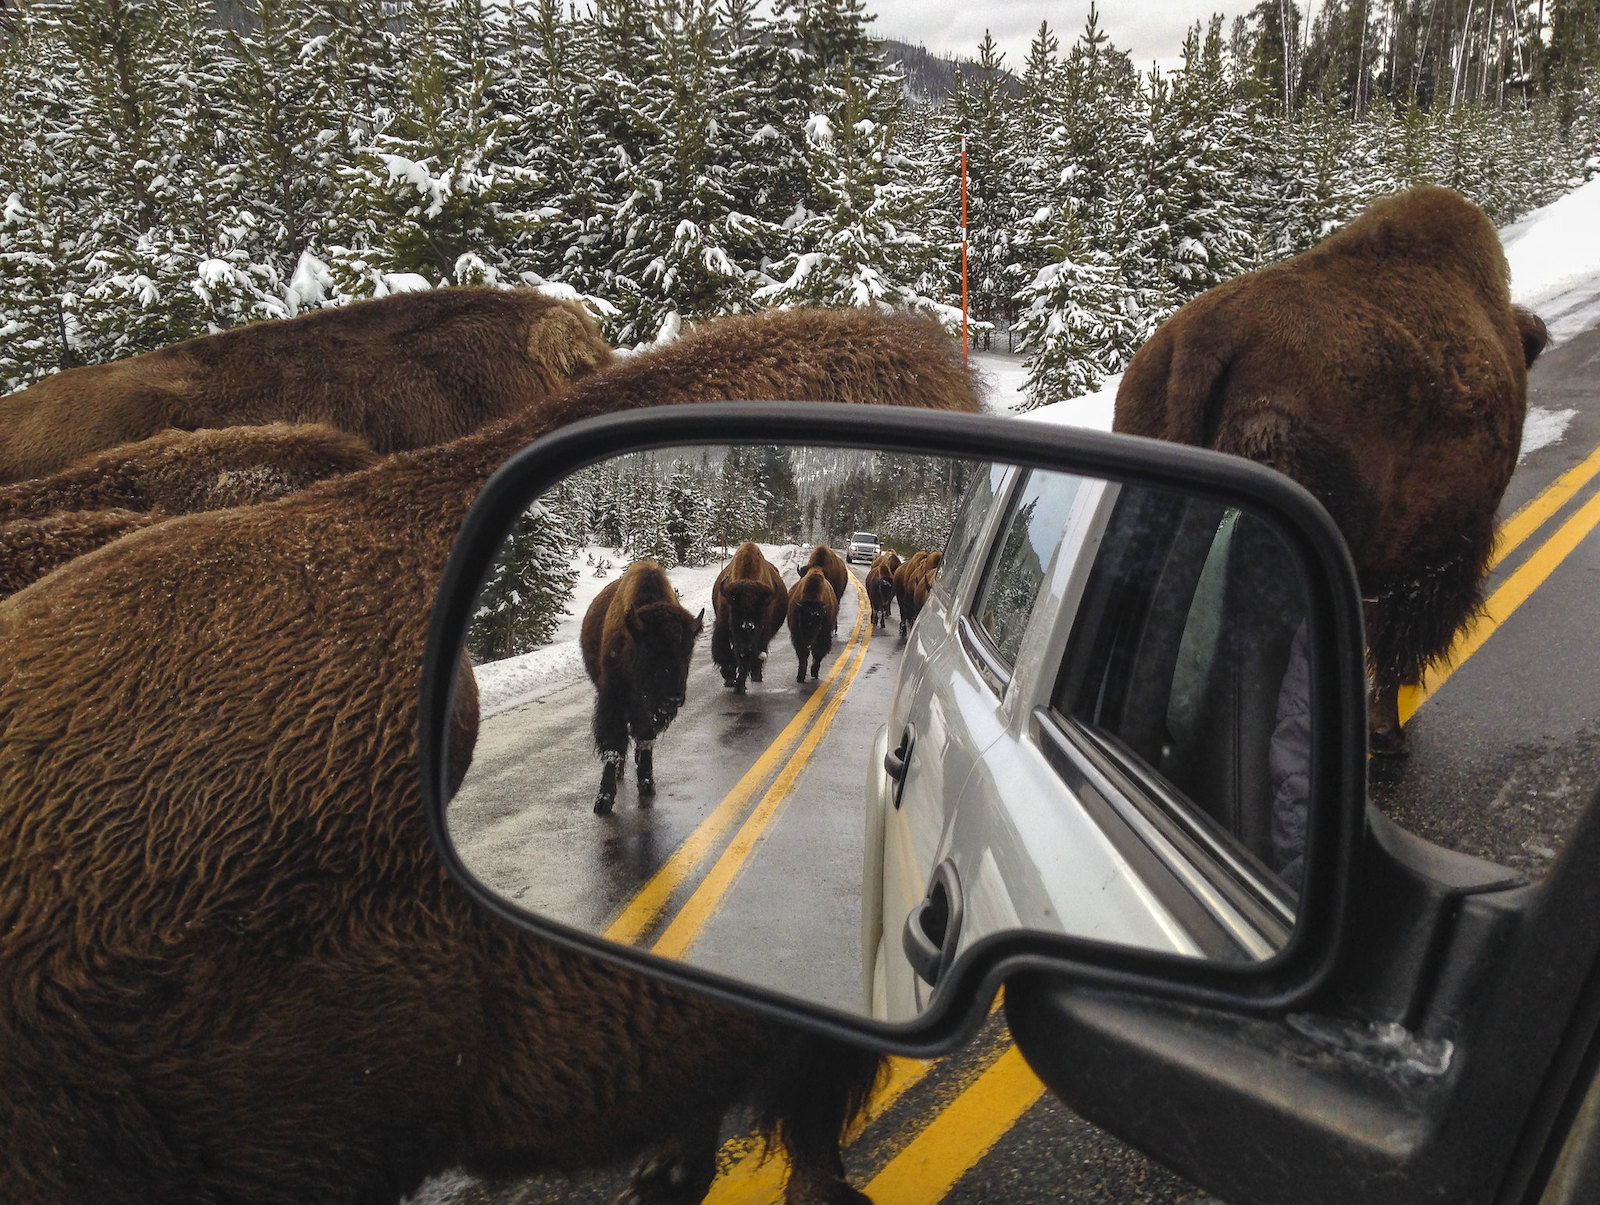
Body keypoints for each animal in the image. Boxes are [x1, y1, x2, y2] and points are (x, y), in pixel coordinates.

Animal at [576, 560, 700, 812]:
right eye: (652, 651)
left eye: (687, 652)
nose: (672, 699)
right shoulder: (613, 700)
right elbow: (613, 747)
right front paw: (603, 800)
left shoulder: (646, 713)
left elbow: (645, 740)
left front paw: (647, 784)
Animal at [710, 540, 790, 691]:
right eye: (734, 617)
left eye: (759, 620)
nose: (745, 649)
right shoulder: (723, 626)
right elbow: (725, 653)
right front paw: (729, 678)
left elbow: (746, 662)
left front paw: (739, 686)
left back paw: (756, 676)